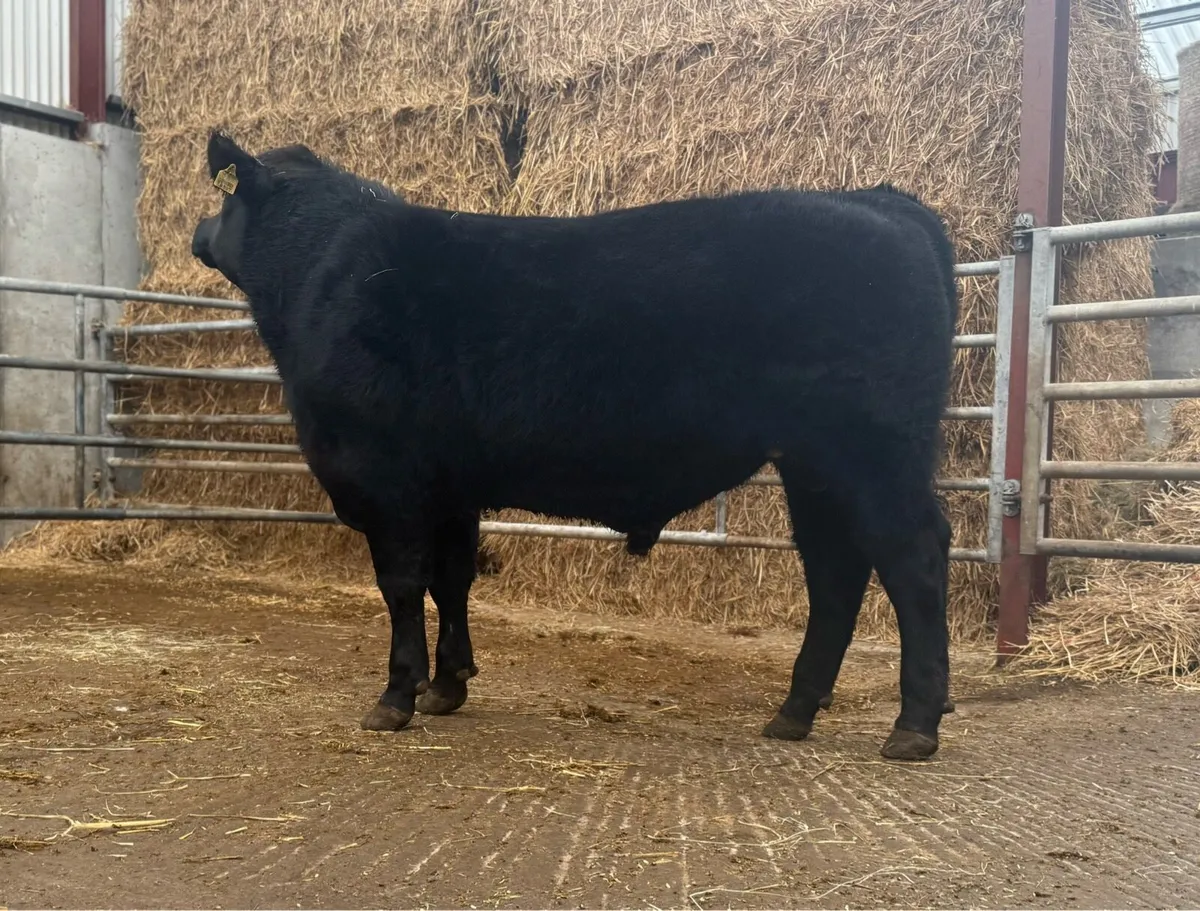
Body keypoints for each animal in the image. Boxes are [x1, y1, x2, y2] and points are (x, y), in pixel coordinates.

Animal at [191, 131, 957, 761]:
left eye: (223, 197)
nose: (197, 229)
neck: (323, 273)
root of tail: (876, 200)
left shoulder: (387, 478)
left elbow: (403, 585)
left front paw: (396, 696)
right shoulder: (449, 487)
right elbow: (452, 579)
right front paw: (448, 686)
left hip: (872, 452)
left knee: (911, 556)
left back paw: (914, 725)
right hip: (814, 464)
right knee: (835, 570)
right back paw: (794, 712)